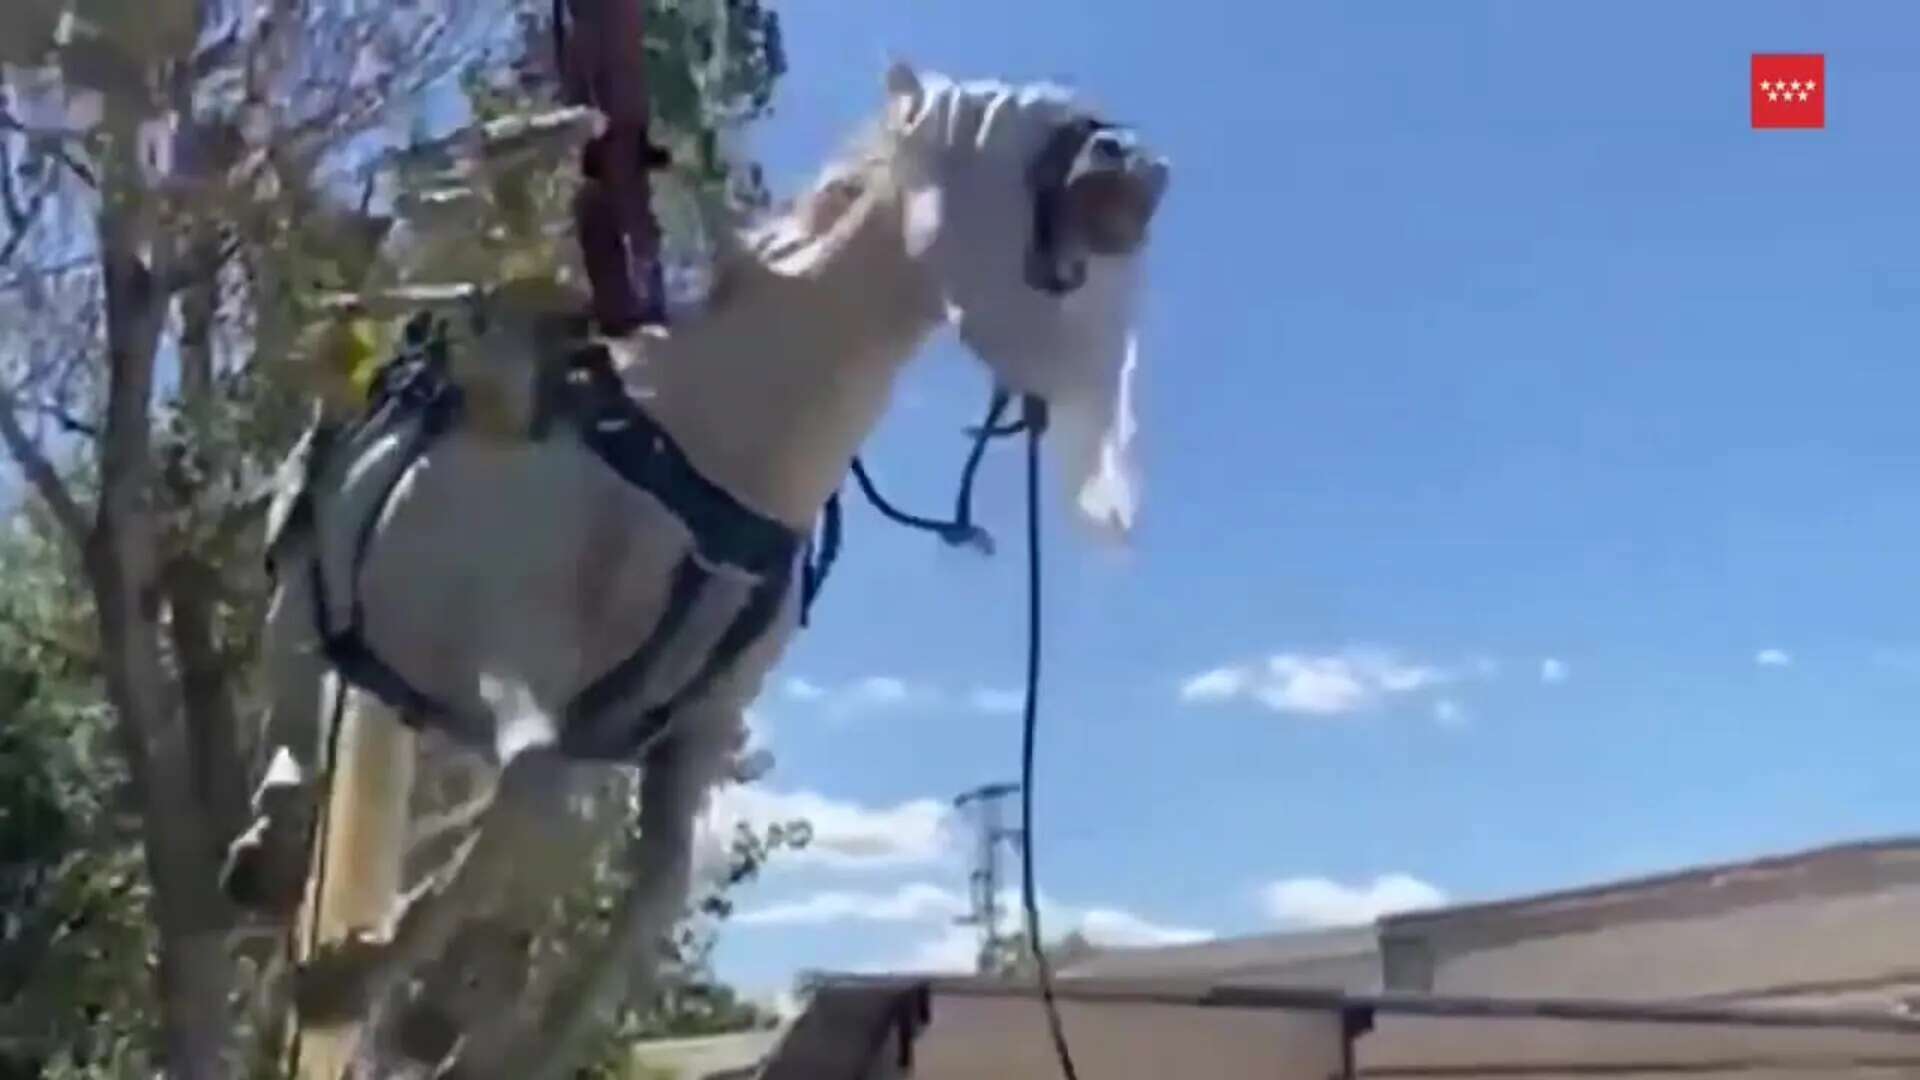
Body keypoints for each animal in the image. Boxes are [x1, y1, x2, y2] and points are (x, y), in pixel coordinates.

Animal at [234, 62, 1175, 1068]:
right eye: (1019, 116)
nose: (1136, 168)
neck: (712, 440)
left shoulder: (687, 731)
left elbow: (650, 887)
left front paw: (482, 1039)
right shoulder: (500, 647)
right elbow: (533, 801)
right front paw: (346, 976)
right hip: (313, 587)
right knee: (298, 680)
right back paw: (274, 851)